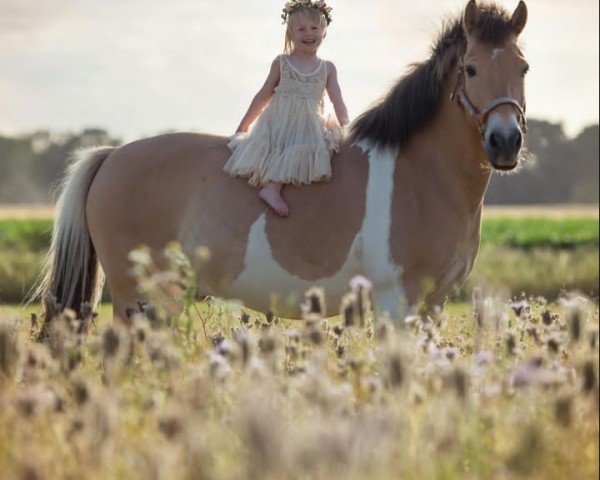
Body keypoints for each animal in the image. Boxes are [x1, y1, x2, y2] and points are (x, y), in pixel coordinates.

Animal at [37, 0, 528, 322]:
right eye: (470, 69)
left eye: (523, 68)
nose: (505, 141)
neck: (422, 177)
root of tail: (112, 156)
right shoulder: (397, 302)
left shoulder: (433, 304)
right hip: (140, 298)